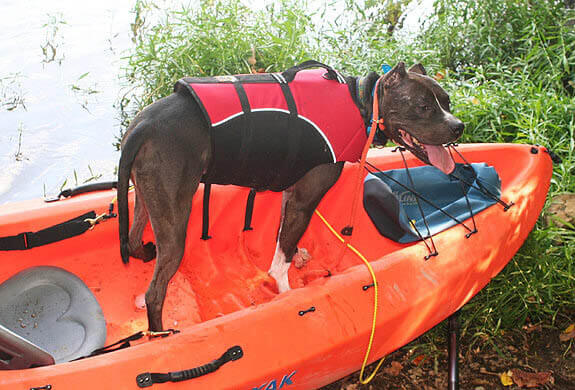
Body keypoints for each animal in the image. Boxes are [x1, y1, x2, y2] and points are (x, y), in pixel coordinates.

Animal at [119, 62, 466, 330]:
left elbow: (283, 238)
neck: (362, 103)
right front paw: (286, 292)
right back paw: (161, 335)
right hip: (175, 223)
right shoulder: (305, 198)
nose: (459, 127)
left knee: (135, 242)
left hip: (147, 200)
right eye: (423, 107)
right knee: (155, 293)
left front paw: (296, 256)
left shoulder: (290, 195)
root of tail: (143, 126)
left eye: (447, 102)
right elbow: (281, 258)